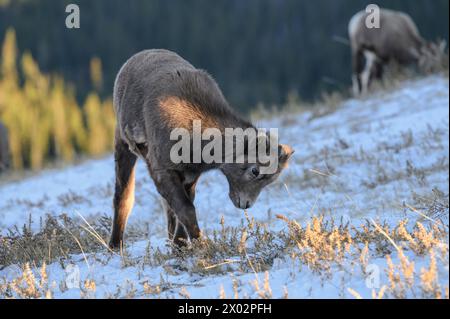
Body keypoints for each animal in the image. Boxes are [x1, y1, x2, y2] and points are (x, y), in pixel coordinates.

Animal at [107, 50, 294, 250]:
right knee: (123, 197)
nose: (245, 204)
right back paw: (115, 245)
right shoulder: (162, 169)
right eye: (255, 170)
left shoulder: (190, 175)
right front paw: (200, 245)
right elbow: (186, 209)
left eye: (271, 179)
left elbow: (183, 209)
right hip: (123, 146)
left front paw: (180, 246)